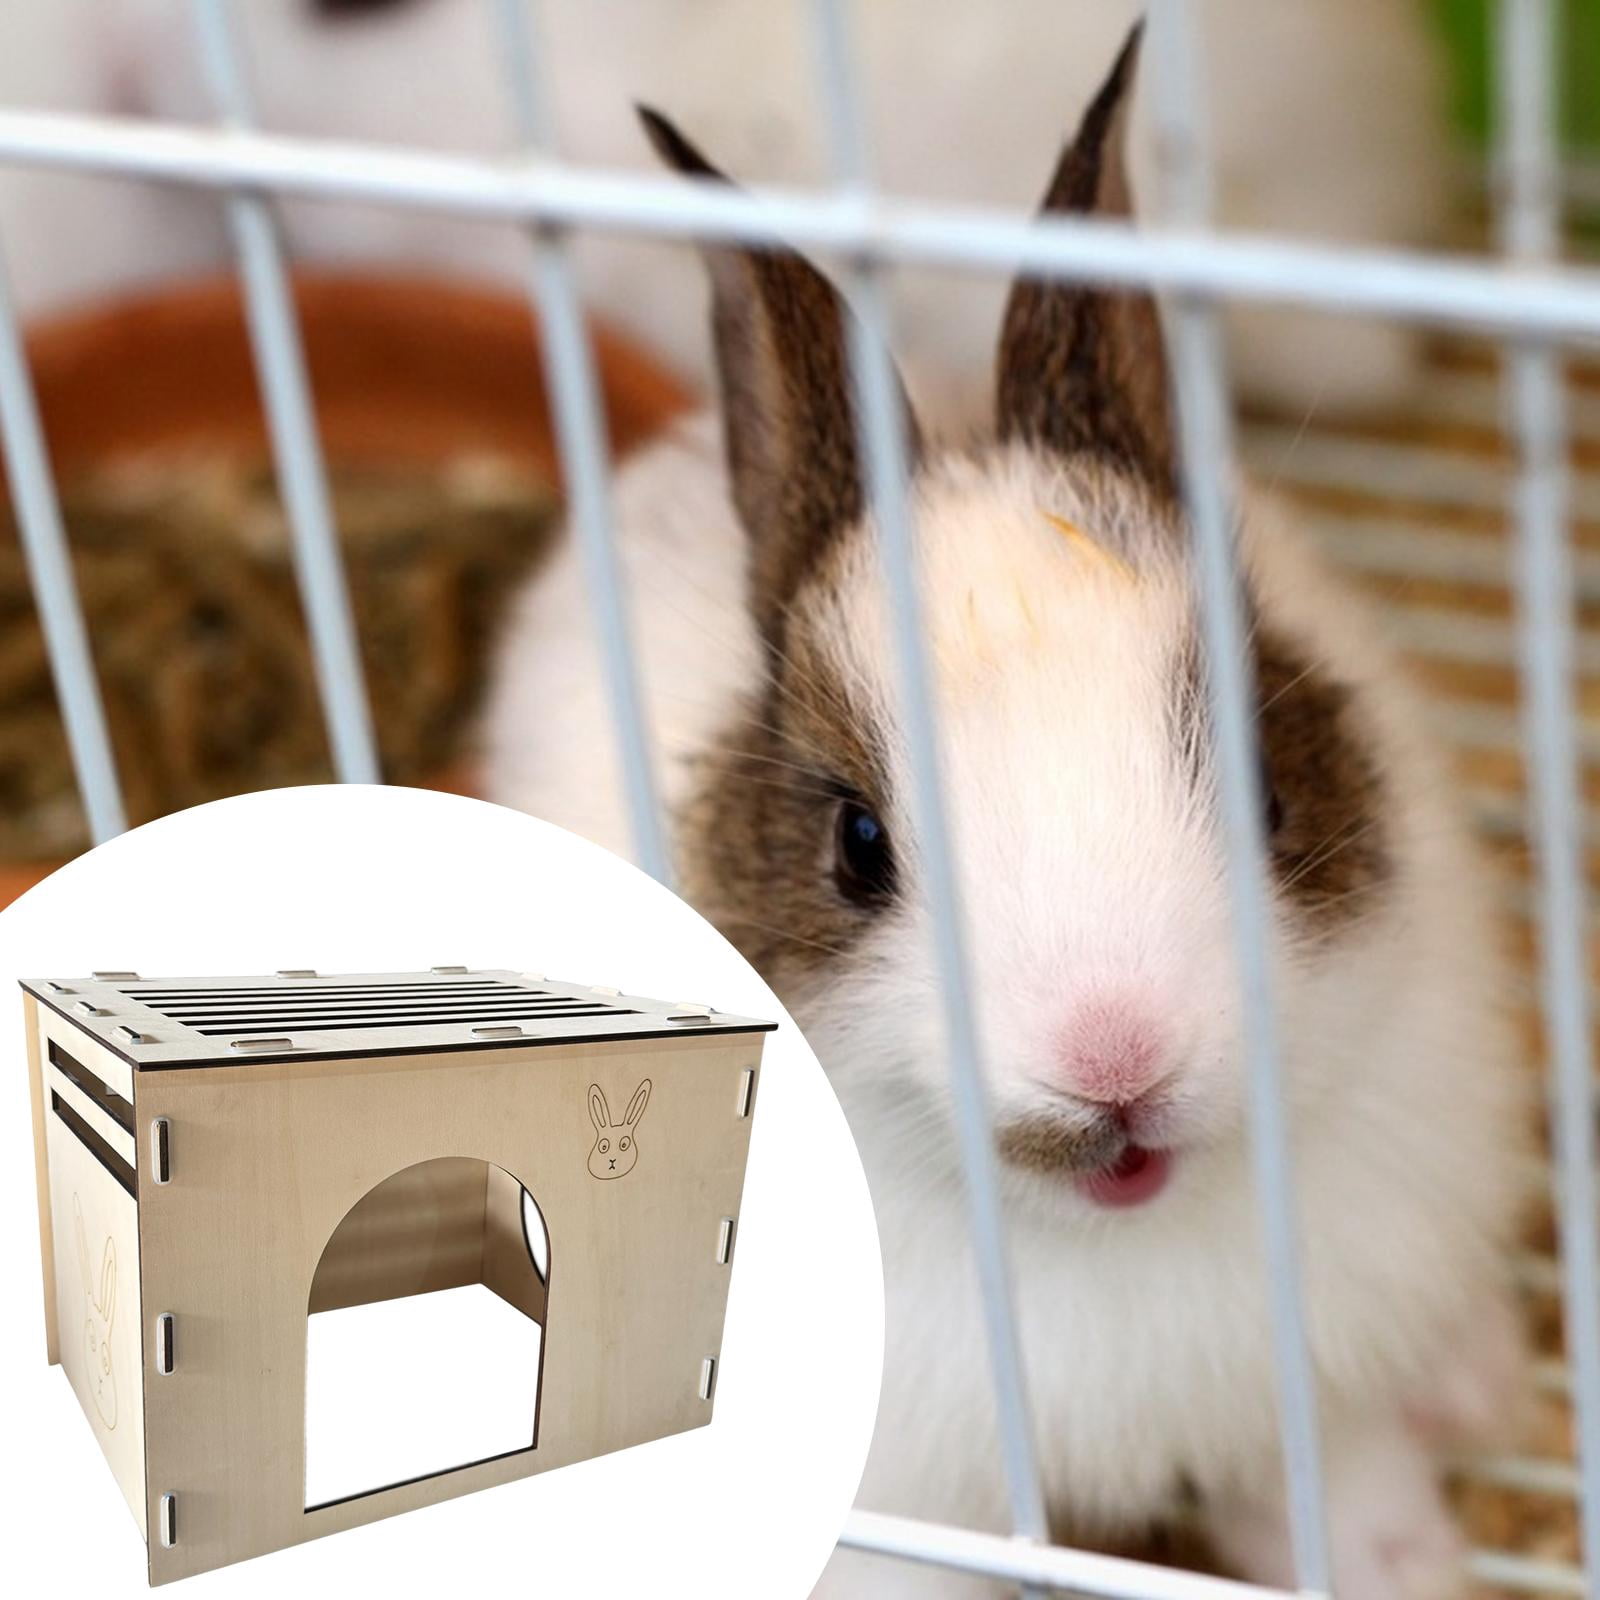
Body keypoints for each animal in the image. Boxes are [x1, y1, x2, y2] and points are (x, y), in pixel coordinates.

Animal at [483, 27, 1530, 1599]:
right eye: (858, 846)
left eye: (1268, 784)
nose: (1115, 1062)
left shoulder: (1307, 1380)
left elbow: (1341, 1490)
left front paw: (1405, 1563)